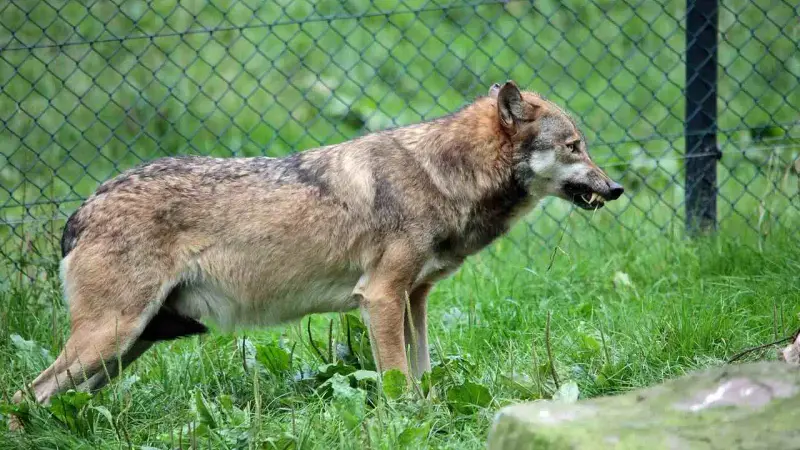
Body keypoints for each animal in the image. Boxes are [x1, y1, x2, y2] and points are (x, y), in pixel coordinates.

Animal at [11, 81, 623, 419]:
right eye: (575, 147)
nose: (616, 188)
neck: (443, 175)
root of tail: (82, 207)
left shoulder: (414, 299)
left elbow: (422, 372)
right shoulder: (380, 298)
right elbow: (398, 381)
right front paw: (407, 423)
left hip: (125, 348)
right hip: (111, 338)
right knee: (24, 395)